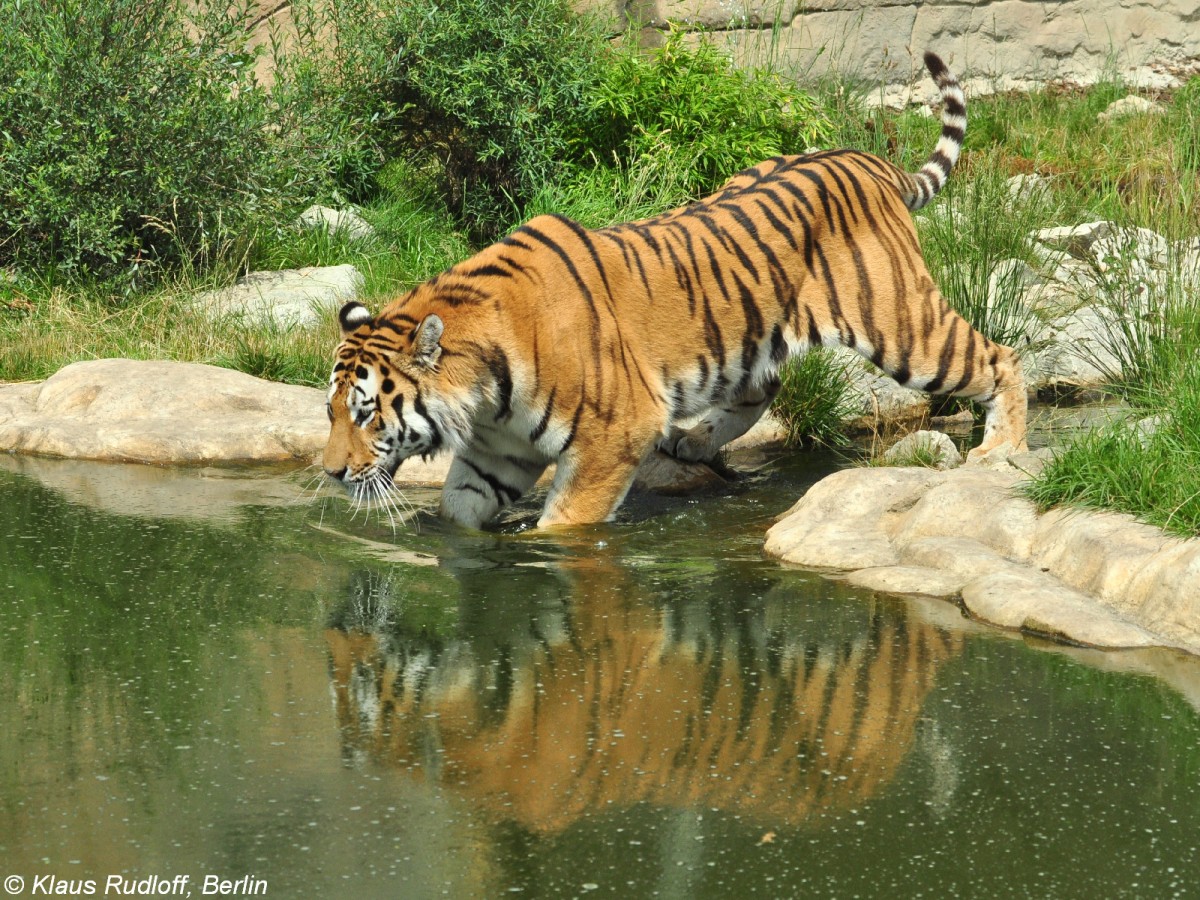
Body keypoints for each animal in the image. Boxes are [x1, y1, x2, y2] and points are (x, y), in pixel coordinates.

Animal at [321, 52, 1032, 532]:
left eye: (367, 412)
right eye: (330, 412)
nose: (331, 473)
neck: (484, 393)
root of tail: (870, 160)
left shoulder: (612, 436)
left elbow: (567, 522)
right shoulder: (497, 452)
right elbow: (459, 513)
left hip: (902, 325)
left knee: (998, 358)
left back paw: (1002, 450)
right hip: (747, 333)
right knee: (759, 389)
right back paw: (691, 441)